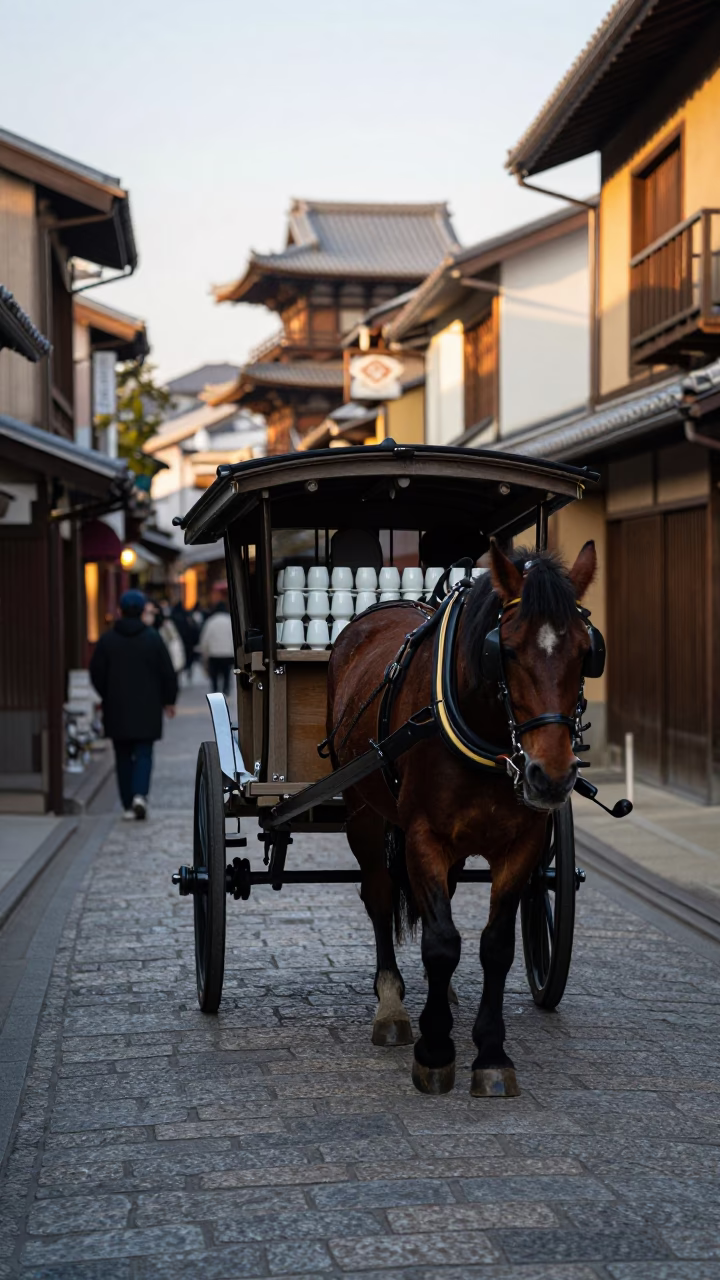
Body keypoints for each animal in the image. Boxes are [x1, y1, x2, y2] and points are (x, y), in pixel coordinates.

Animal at [326, 538, 597, 1097]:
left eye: (588, 652)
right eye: (506, 650)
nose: (551, 775)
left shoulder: (524, 844)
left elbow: (495, 946)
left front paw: (490, 1054)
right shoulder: (424, 836)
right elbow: (441, 942)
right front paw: (434, 1050)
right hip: (362, 809)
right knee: (379, 893)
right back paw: (392, 1004)